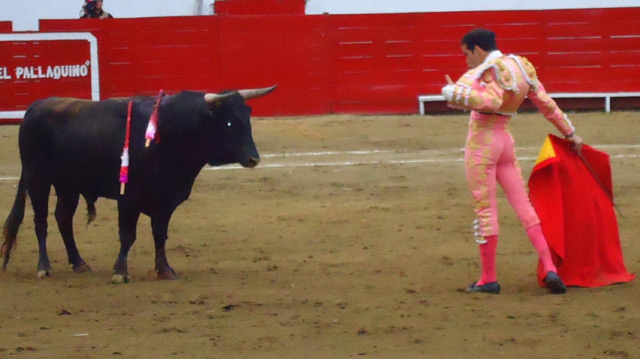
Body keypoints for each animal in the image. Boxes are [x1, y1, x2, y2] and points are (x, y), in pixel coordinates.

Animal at [0, 86, 276, 282]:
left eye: (247, 120)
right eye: (229, 123)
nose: (253, 159)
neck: (169, 135)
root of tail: (35, 107)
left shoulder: (167, 198)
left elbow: (160, 234)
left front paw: (165, 270)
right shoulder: (128, 198)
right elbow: (127, 234)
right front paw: (120, 272)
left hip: (68, 185)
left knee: (63, 218)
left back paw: (79, 263)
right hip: (38, 179)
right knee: (41, 221)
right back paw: (44, 268)